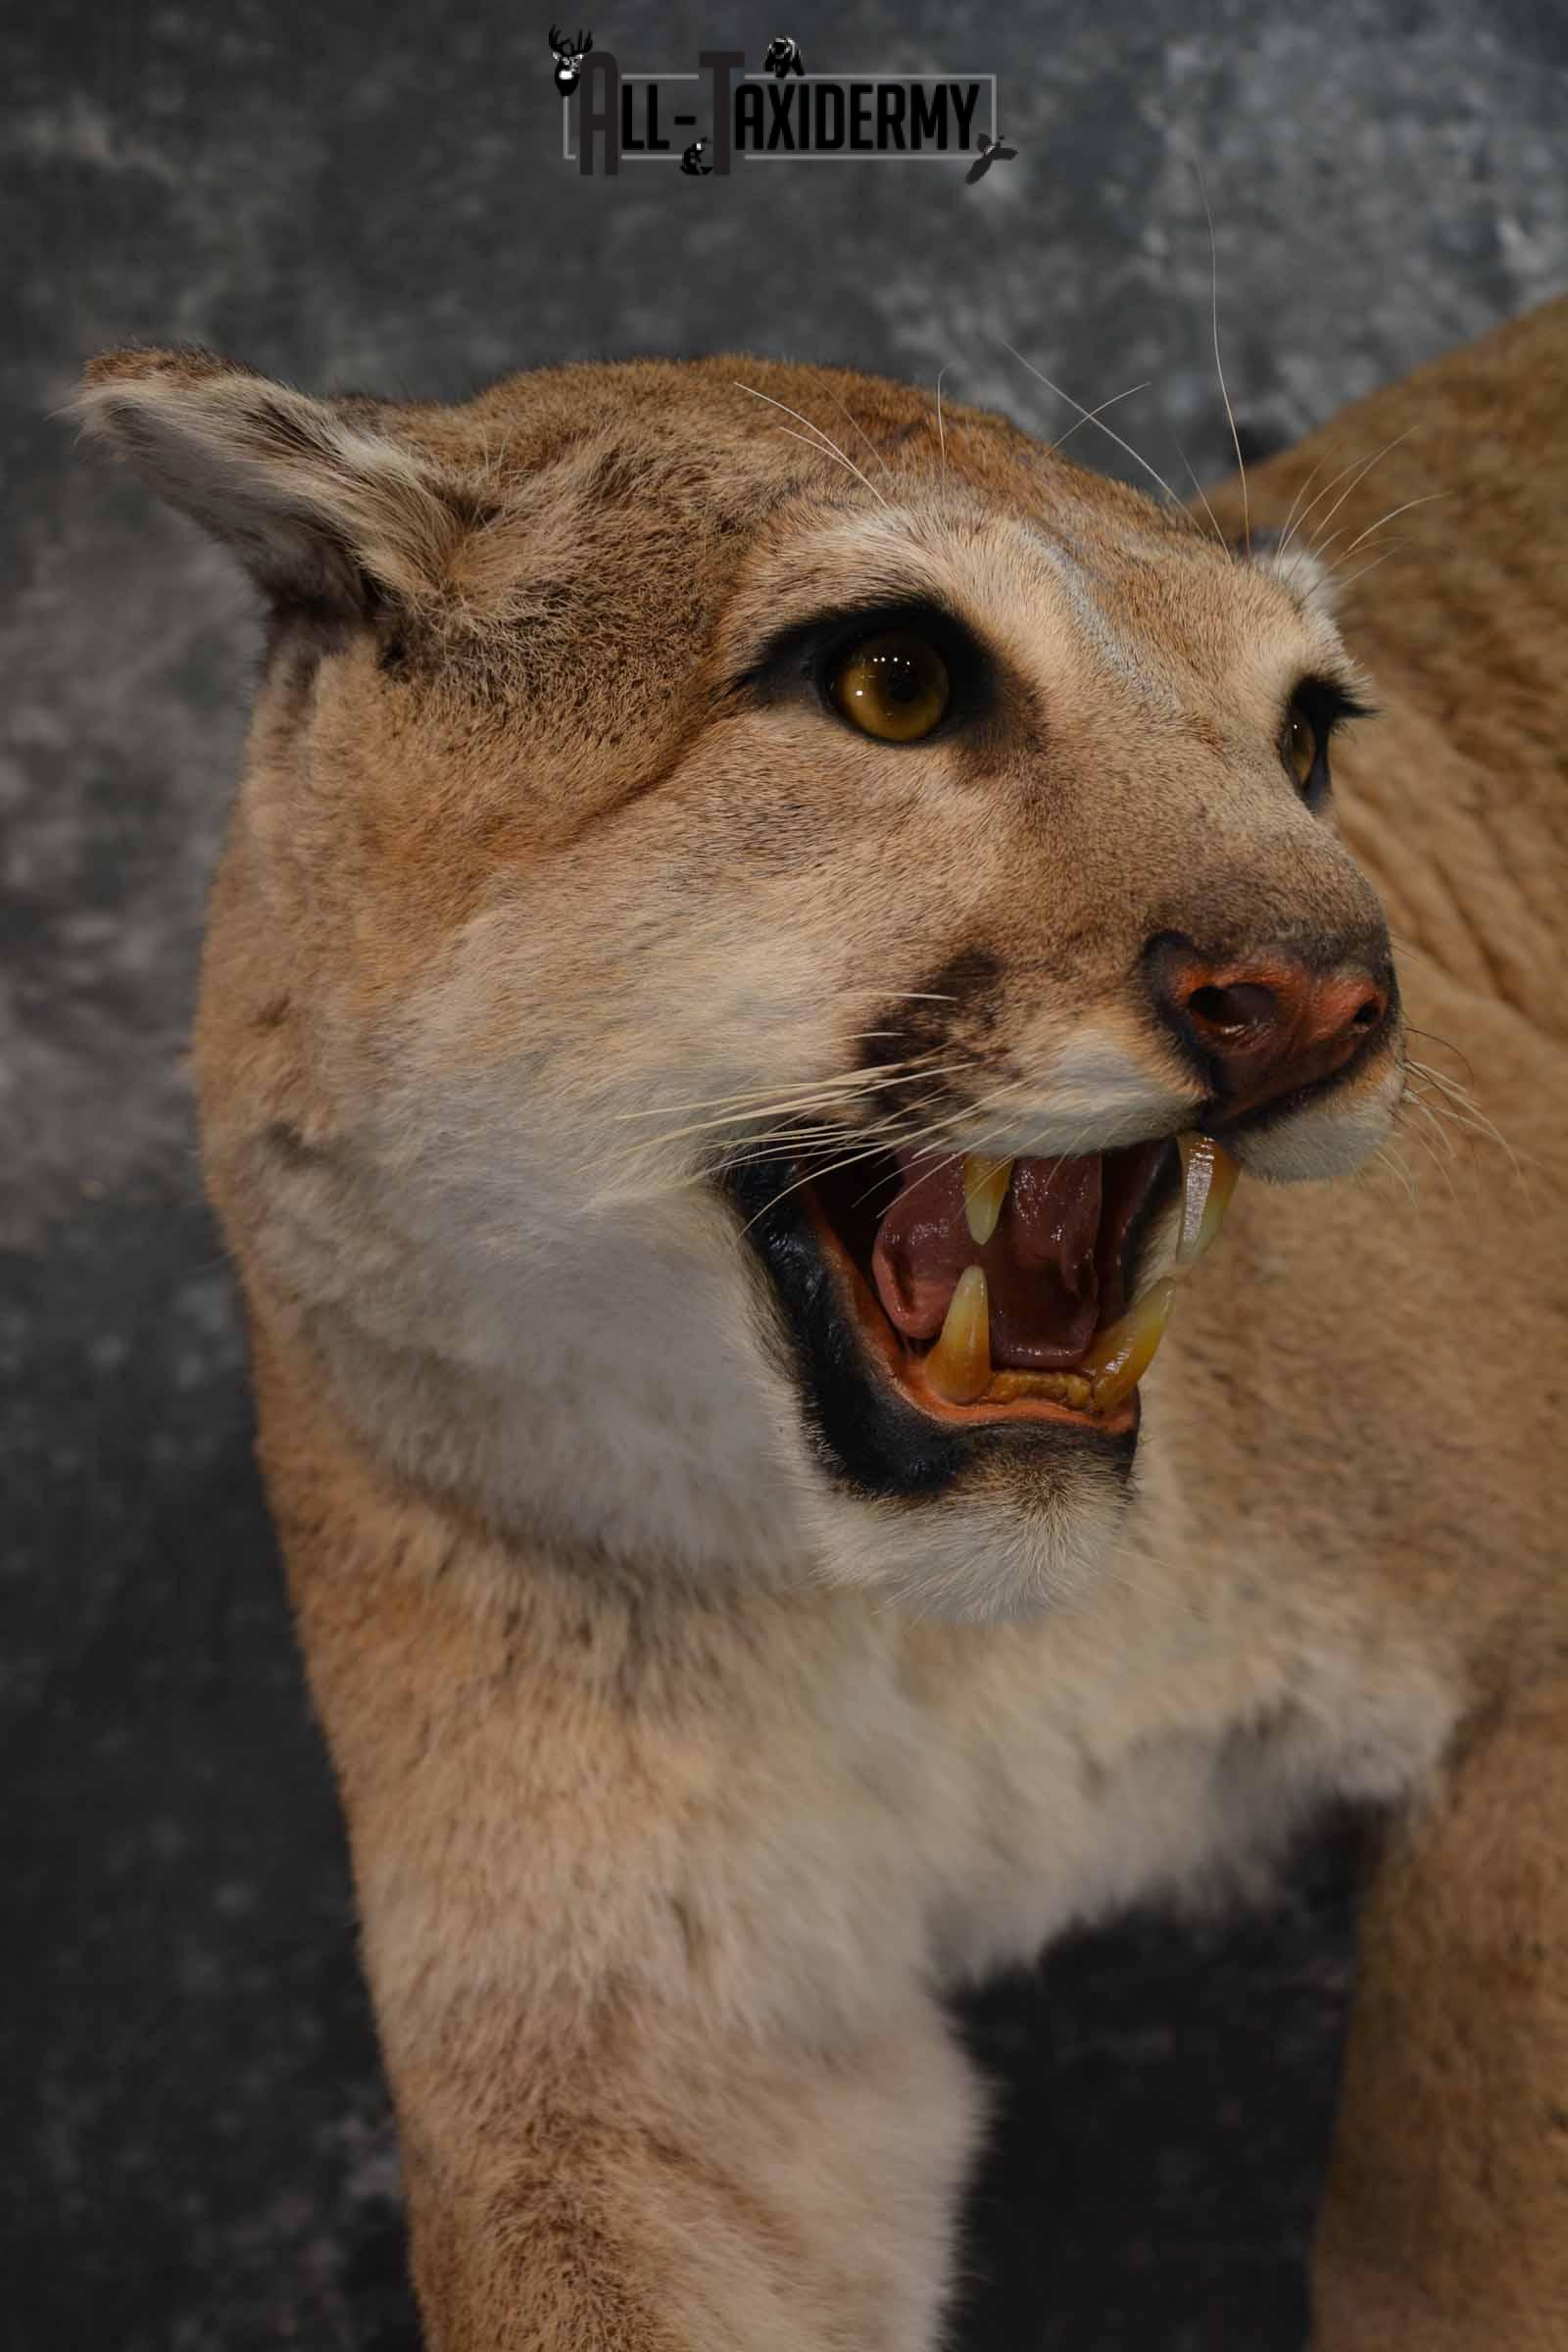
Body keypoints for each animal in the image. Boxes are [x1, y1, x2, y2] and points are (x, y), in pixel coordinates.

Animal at [76, 298, 1566, 2349]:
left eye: (1304, 735)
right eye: (895, 683)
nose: (1336, 996)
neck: (931, 1636)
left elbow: (1462, 2220)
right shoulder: (638, 2056)